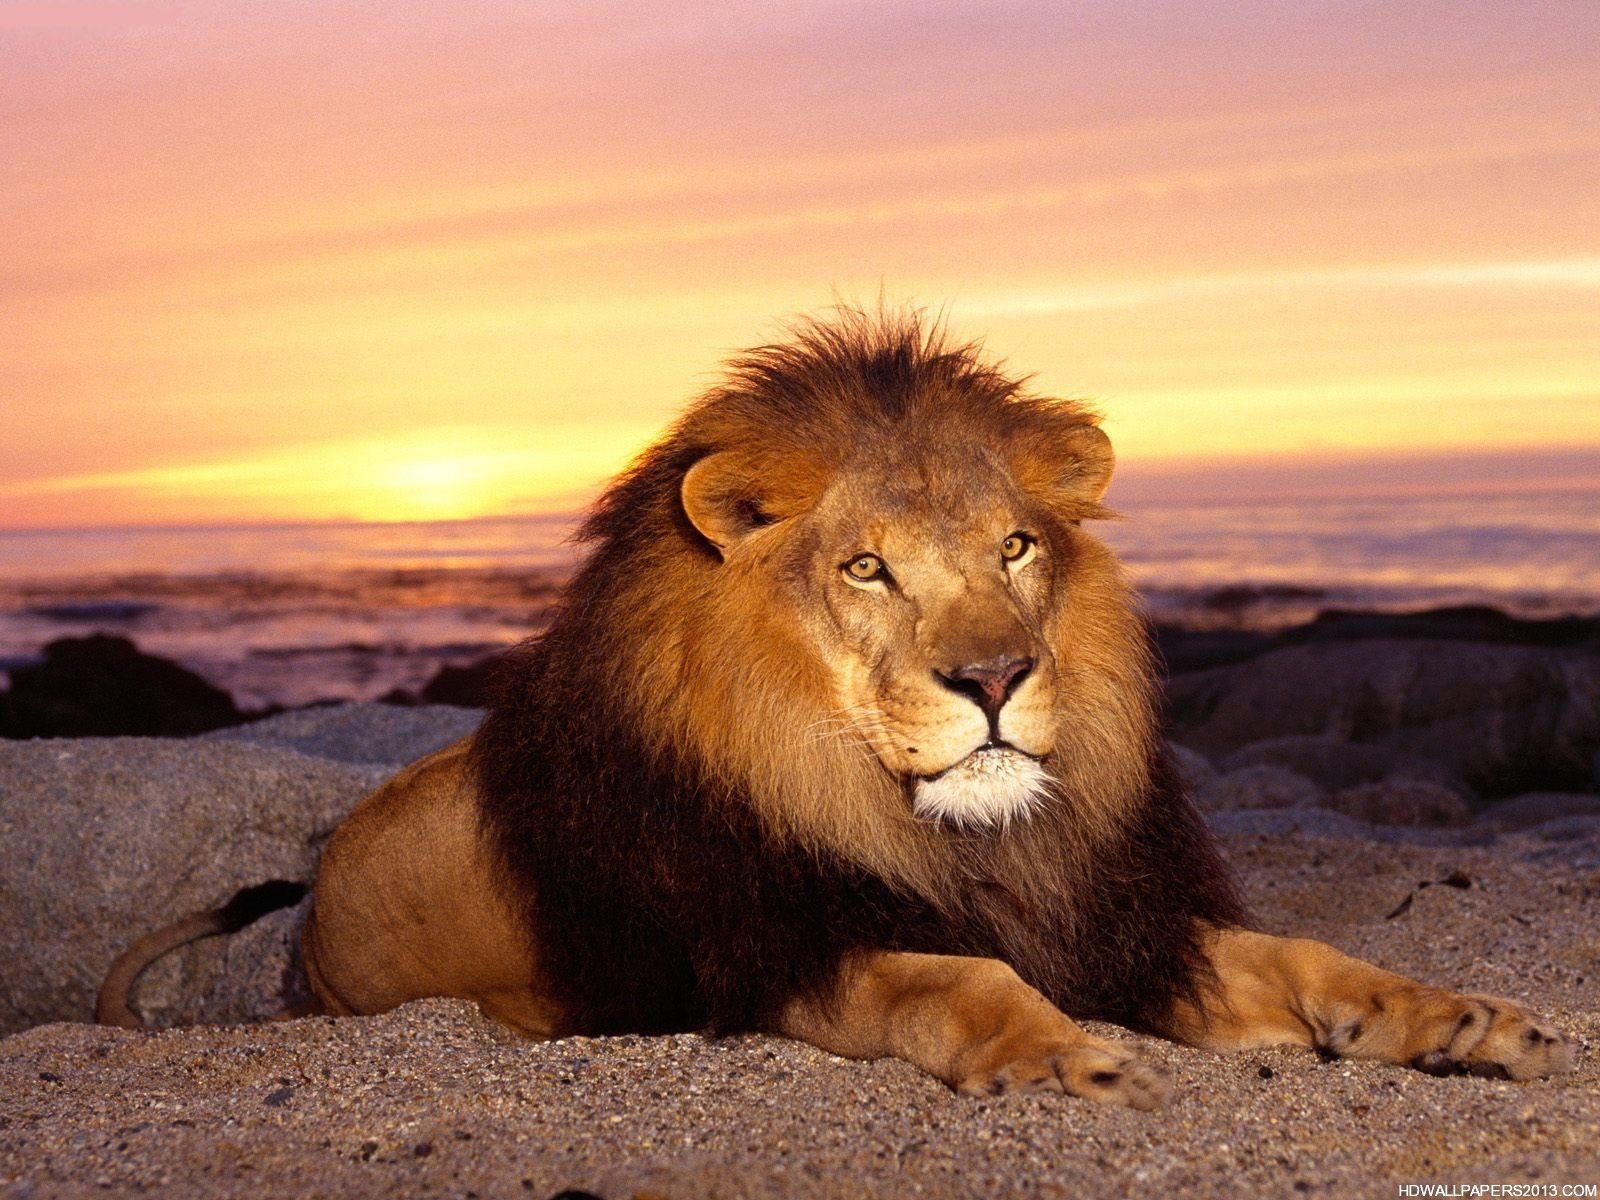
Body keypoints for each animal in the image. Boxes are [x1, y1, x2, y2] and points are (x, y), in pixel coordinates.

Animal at [100, 310, 1575, 1107]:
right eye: (868, 568)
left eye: (1016, 549)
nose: (994, 680)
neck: (951, 835)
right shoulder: (772, 952)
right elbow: (953, 976)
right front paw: (1068, 1059)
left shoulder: (1117, 919)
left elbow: (1311, 959)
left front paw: (1459, 1019)